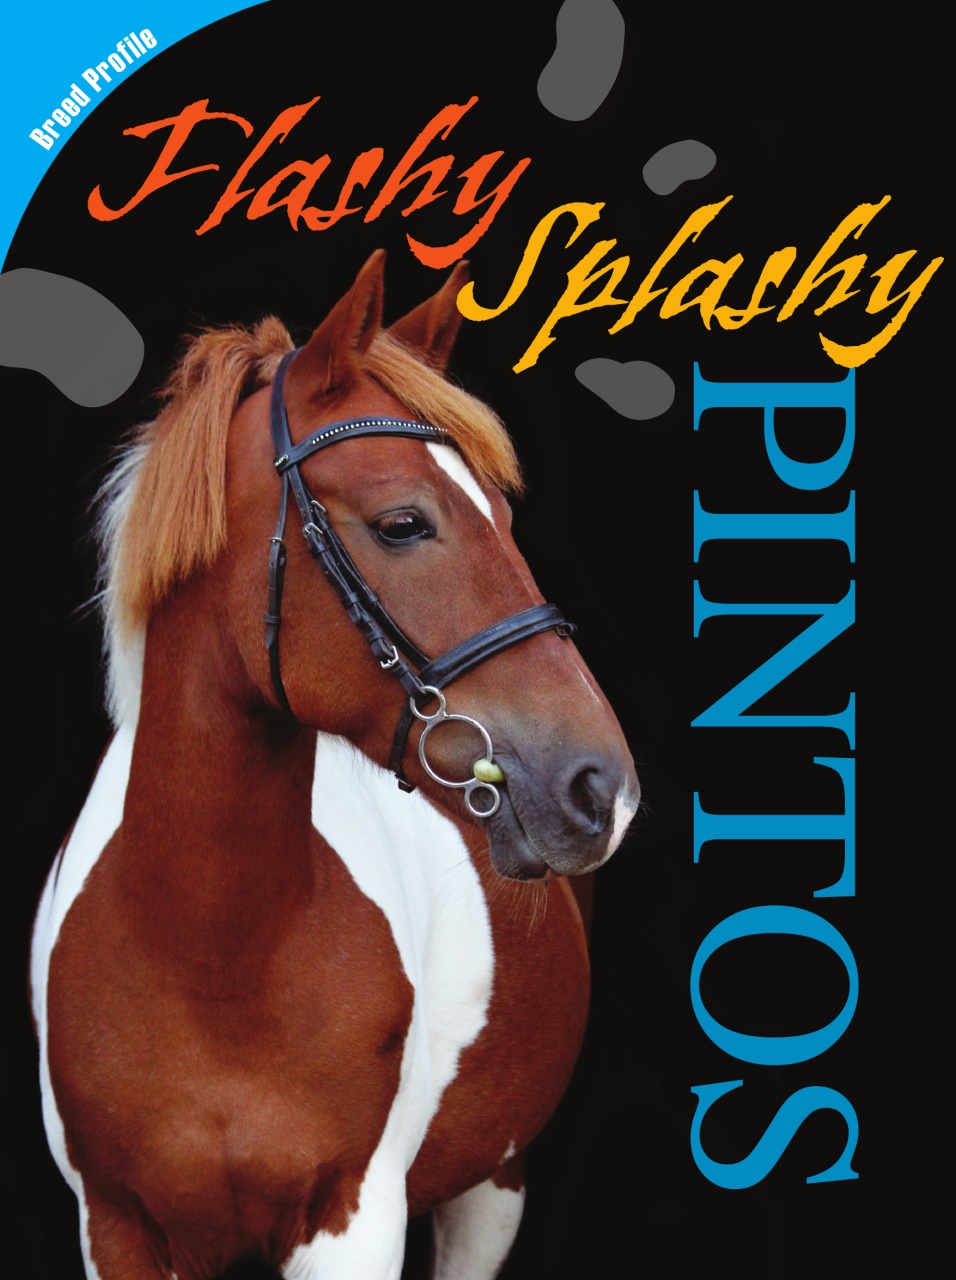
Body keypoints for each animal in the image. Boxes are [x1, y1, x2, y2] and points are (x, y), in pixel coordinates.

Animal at [30, 250, 640, 1280]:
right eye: (402, 523)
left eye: (503, 513)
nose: (602, 787)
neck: (210, 961)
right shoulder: (115, 1228)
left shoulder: (353, 1222)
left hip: (494, 1186)